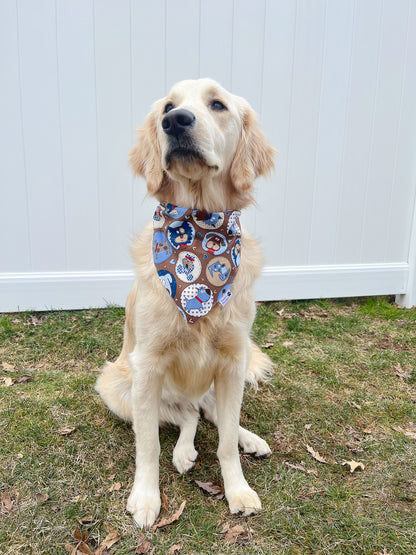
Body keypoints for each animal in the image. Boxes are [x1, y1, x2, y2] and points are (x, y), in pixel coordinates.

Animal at [95, 77, 276, 524]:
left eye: (218, 104)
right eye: (167, 107)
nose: (175, 121)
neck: (199, 224)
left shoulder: (232, 361)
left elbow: (225, 440)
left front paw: (238, 489)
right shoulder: (148, 365)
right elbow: (148, 446)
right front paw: (146, 497)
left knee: (210, 413)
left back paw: (250, 438)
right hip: (119, 388)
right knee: (187, 416)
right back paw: (184, 452)